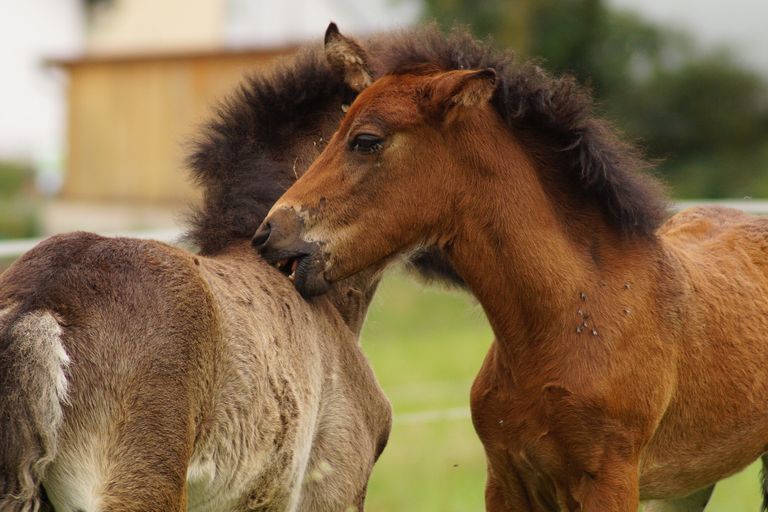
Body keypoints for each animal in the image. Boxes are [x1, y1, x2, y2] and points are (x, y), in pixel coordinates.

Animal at [256, 24, 768, 512]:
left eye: (366, 141)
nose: (268, 234)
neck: (573, 315)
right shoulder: (506, 479)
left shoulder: (610, 481)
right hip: (687, 484)